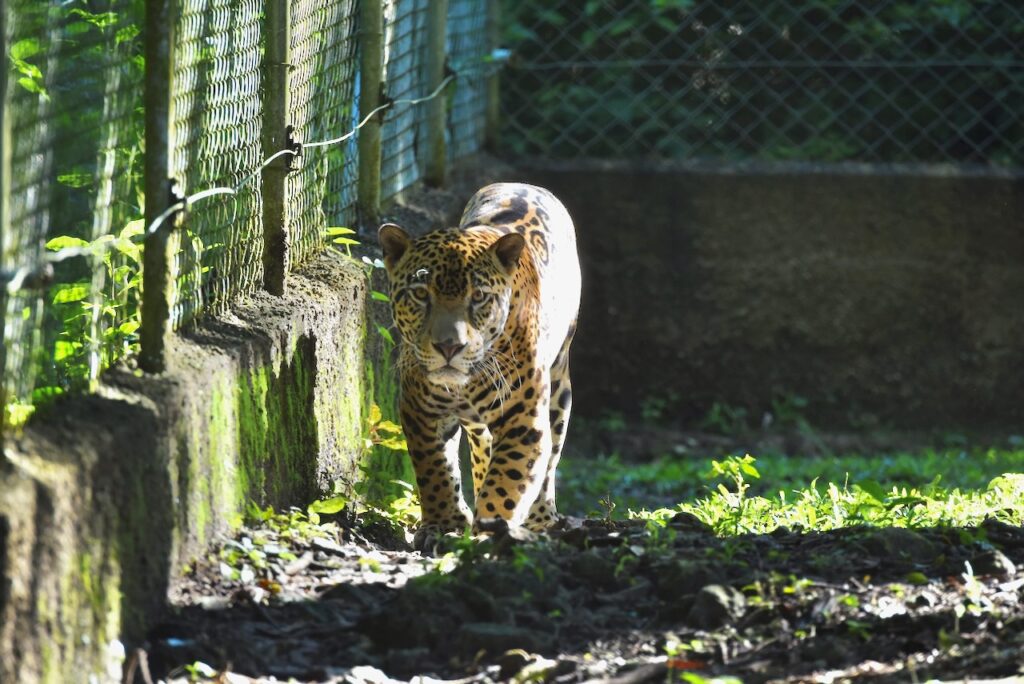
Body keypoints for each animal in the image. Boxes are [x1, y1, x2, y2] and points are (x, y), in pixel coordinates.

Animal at [378, 182, 581, 546]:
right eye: (420, 294)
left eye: (479, 297)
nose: (449, 346)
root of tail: (525, 184)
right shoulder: (421, 412)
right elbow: (434, 470)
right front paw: (443, 525)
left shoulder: (524, 422)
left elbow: (509, 477)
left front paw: (491, 527)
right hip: (476, 425)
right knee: (482, 448)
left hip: (559, 387)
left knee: (549, 459)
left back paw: (540, 518)